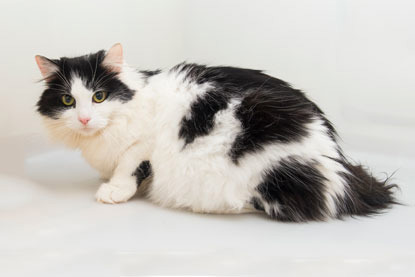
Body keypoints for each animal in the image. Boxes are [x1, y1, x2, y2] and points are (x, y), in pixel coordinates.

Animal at [34, 42, 398, 220]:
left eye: (99, 96)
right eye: (68, 100)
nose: (84, 119)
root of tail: (339, 168)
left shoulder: (147, 141)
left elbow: (129, 163)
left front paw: (115, 189)